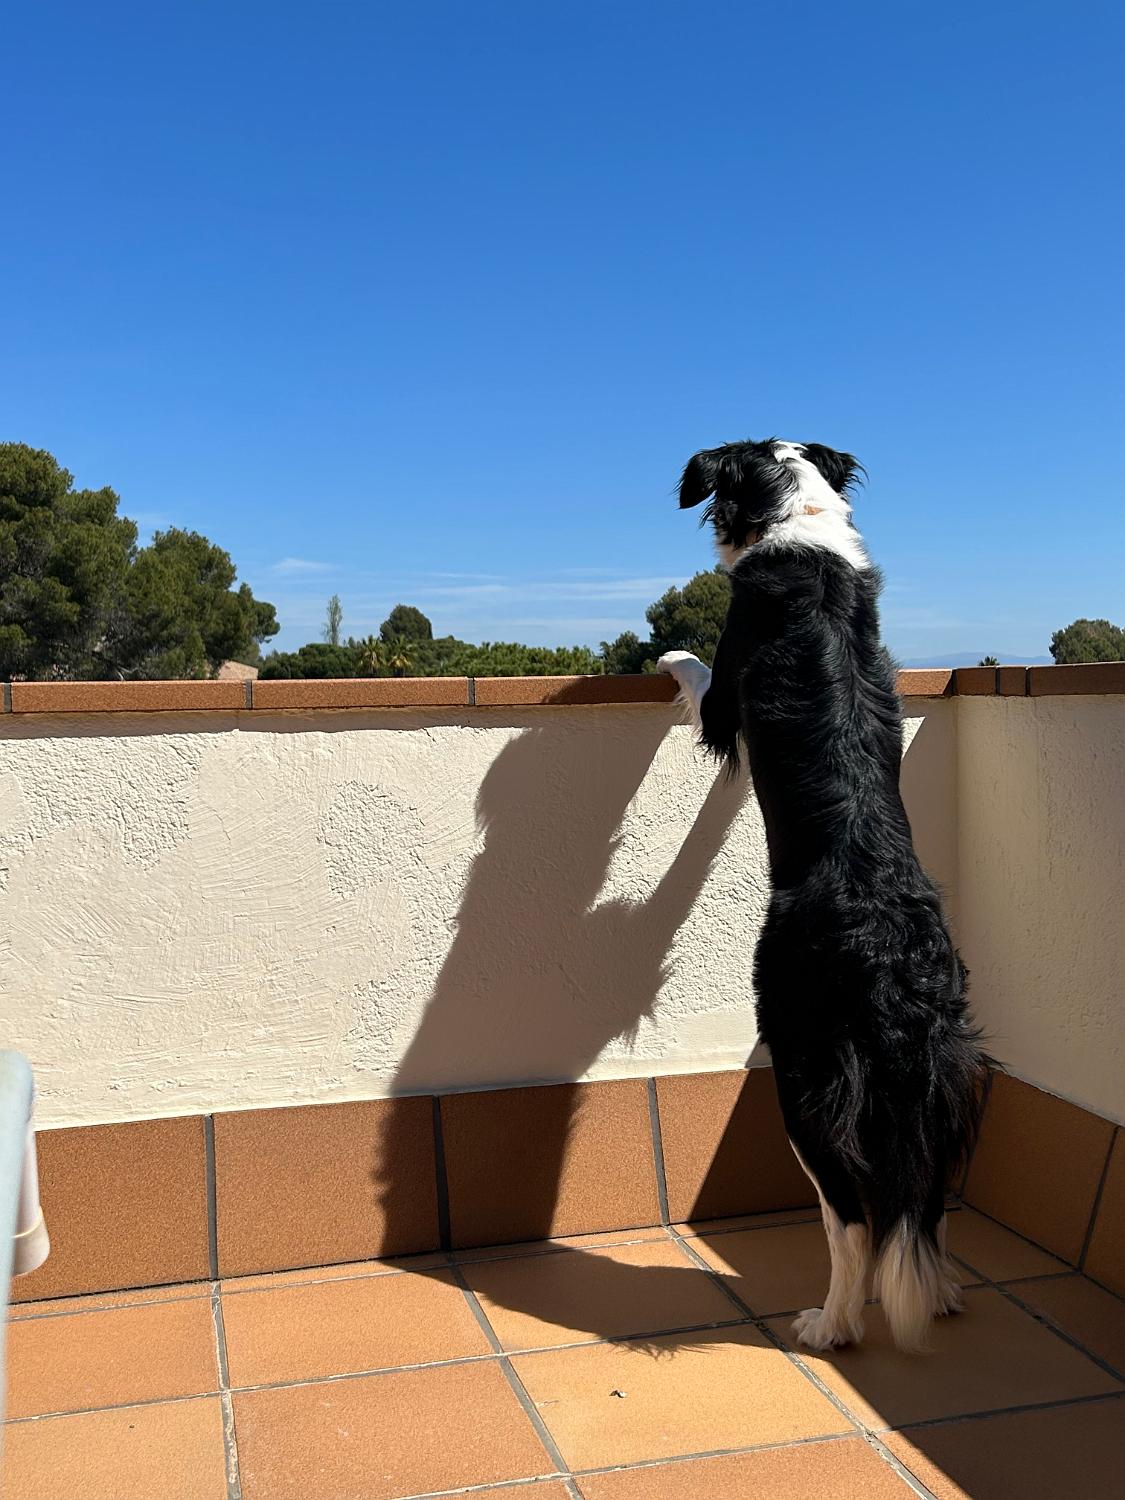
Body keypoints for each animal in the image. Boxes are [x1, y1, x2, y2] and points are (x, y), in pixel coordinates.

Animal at [659, 438, 987, 1353]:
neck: (798, 521)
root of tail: (893, 960)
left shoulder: (726, 696)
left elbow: (699, 674)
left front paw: (662, 654)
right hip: (946, 1071)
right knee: (922, 1206)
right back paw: (940, 1292)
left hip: (802, 1063)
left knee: (853, 1220)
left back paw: (830, 1324)